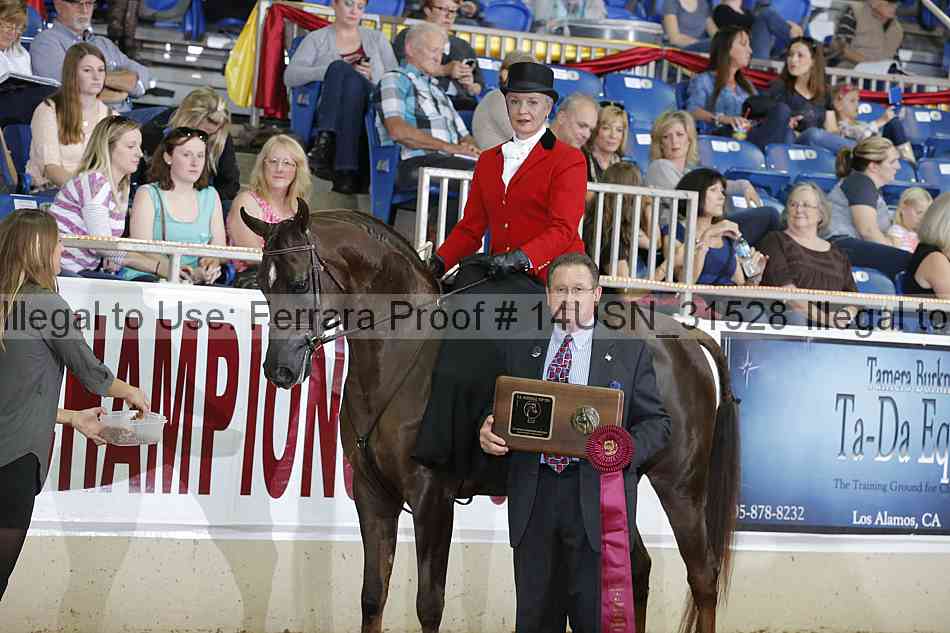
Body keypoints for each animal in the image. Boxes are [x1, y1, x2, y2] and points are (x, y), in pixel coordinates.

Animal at [242, 201, 740, 633]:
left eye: (300, 282)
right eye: (263, 284)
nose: (278, 369)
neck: (401, 354)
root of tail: (684, 335)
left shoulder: (432, 497)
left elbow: (429, 604)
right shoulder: (372, 494)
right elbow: (371, 596)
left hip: (680, 486)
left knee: (702, 576)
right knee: (636, 567)